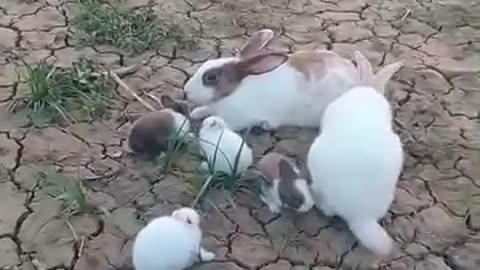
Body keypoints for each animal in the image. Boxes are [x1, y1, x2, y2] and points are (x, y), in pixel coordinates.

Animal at [184, 28, 402, 132]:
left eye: (210, 77)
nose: (186, 91)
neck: (236, 90)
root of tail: (367, 85)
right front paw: (196, 112)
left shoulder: (242, 118)